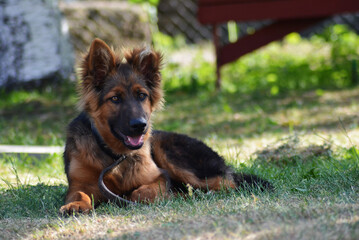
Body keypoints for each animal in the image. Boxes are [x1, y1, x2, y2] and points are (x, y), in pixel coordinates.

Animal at [59, 38, 272, 215]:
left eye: (142, 95)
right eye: (115, 98)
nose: (140, 126)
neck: (115, 156)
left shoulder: (159, 177)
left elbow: (142, 192)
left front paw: (133, 196)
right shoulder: (80, 183)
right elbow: (79, 194)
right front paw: (75, 204)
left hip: (170, 154)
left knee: (226, 183)